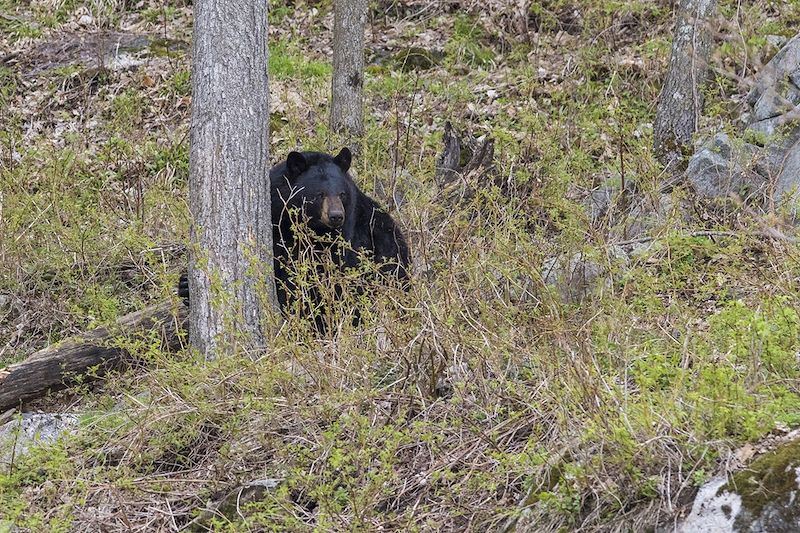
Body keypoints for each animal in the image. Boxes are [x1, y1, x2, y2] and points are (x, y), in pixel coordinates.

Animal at [179, 147, 410, 328]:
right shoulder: (276, 224)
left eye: (342, 194)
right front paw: (185, 286)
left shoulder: (348, 238)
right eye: (319, 195)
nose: (336, 216)